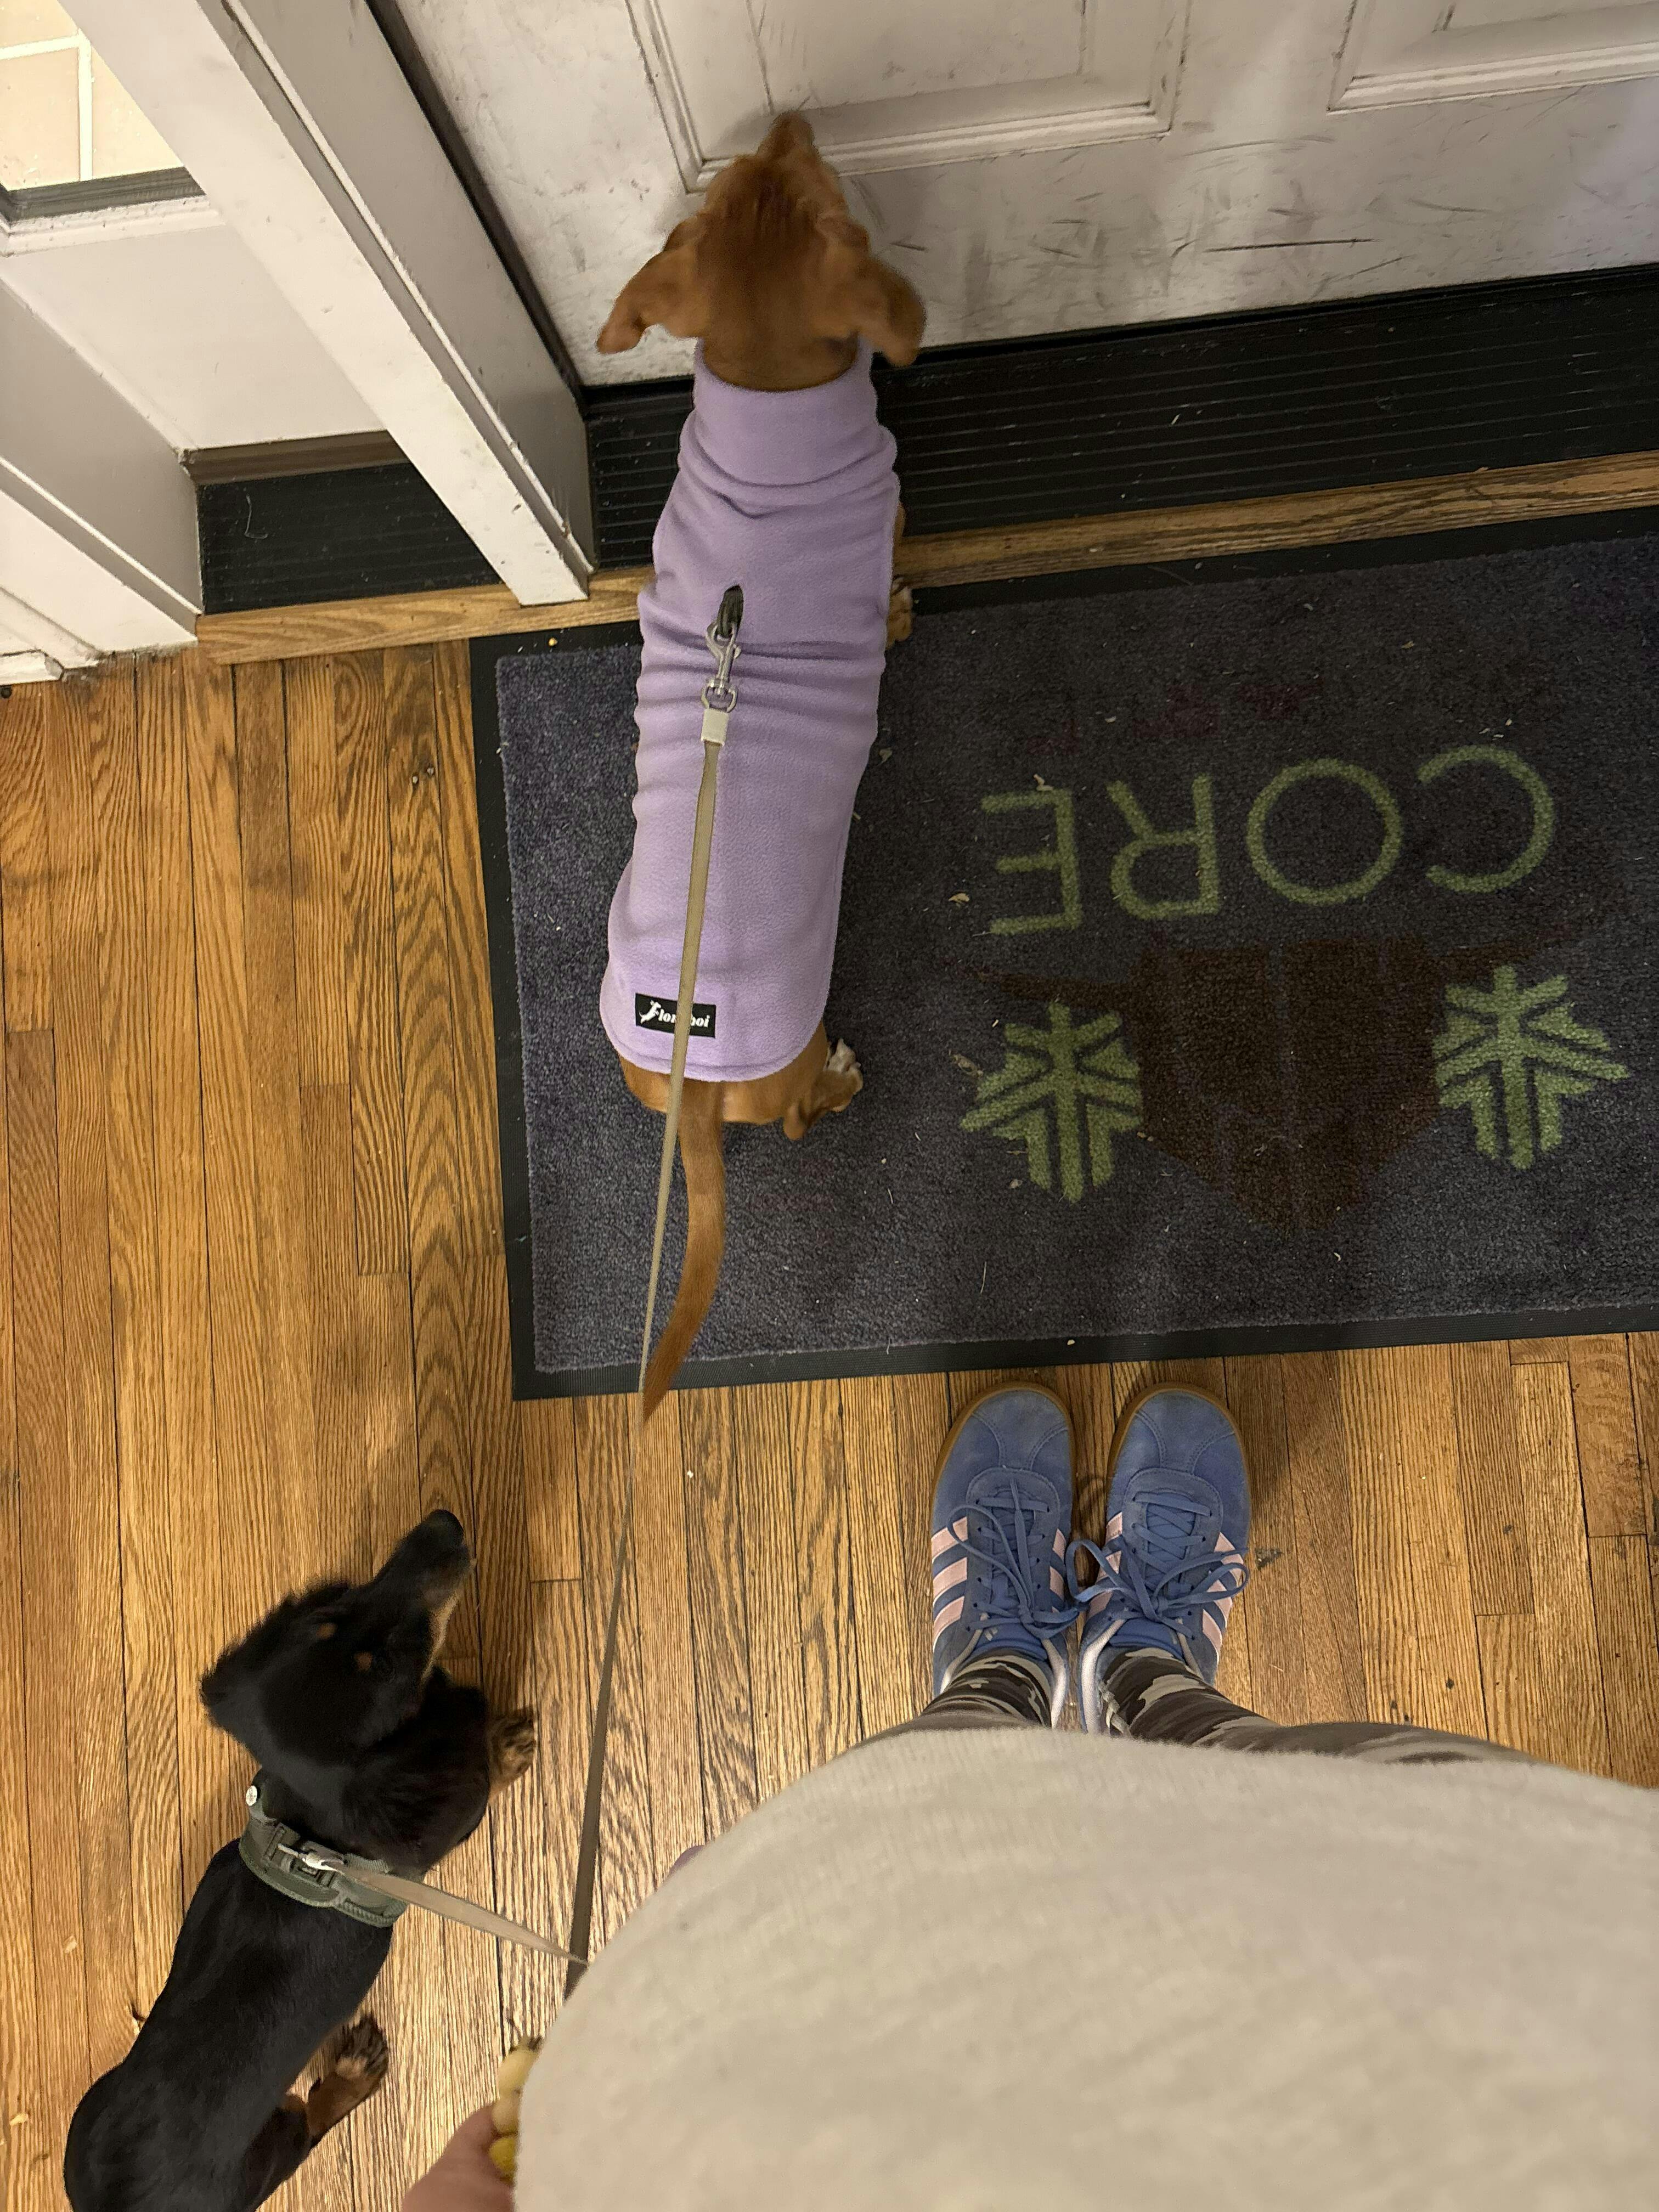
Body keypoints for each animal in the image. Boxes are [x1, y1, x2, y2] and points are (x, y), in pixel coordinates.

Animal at [63, 1512, 536, 2212]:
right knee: (312, 2122)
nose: (442, 1525)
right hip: (270, 2147)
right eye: (388, 1663)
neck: (313, 1835)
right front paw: (503, 1749)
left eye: (331, 1615)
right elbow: (479, 1778)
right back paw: (353, 2076)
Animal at [596, 112, 925, 1419]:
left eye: (740, 182)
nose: (787, 116)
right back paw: (839, 1080)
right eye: (829, 195)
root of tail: (694, 1076)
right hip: (794, 1064)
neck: (768, 412)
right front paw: (899, 612)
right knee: (795, 1127)